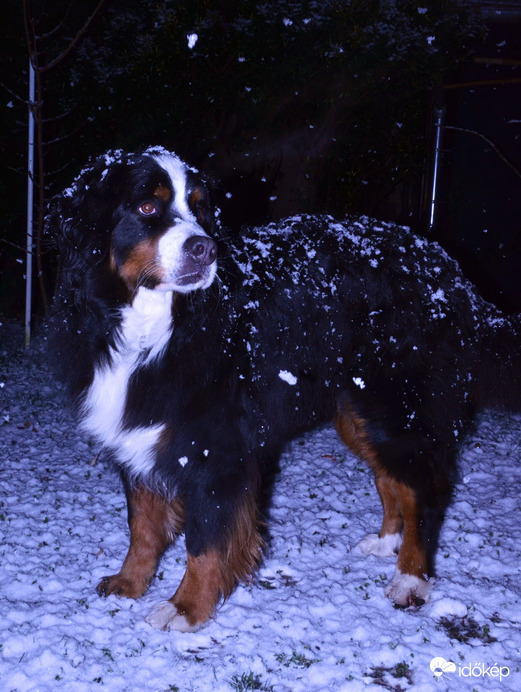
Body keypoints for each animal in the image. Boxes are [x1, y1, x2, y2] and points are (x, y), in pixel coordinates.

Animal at [46, 146, 516, 632]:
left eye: (200, 207)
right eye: (146, 207)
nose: (205, 248)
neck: (156, 327)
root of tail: (445, 264)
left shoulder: (215, 449)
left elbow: (205, 542)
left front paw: (187, 608)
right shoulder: (139, 432)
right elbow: (142, 524)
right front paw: (130, 582)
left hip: (398, 406)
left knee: (423, 490)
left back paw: (411, 578)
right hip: (358, 414)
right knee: (394, 480)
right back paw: (386, 542)